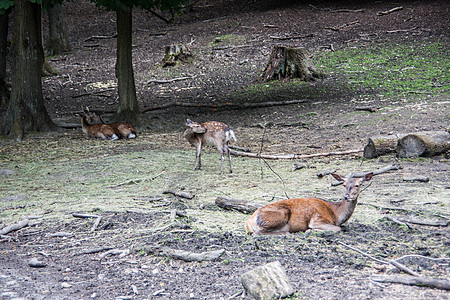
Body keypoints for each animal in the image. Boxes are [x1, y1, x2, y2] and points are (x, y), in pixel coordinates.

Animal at [244, 172, 374, 236]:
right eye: (344, 185)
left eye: (358, 185)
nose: (347, 196)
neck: (336, 214)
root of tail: (248, 222)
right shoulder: (317, 219)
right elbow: (337, 229)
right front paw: (309, 231)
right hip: (280, 213)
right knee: (257, 233)